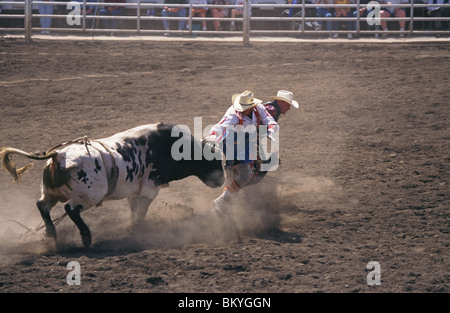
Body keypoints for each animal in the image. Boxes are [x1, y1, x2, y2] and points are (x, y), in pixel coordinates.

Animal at [0, 122, 224, 246]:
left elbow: (134, 208)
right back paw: (85, 236)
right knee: (70, 209)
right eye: (214, 161)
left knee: (42, 206)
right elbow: (141, 209)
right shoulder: (150, 188)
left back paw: (51, 234)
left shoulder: (135, 191)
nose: (222, 180)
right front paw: (137, 229)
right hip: (90, 195)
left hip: (50, 192)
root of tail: (58, 155)